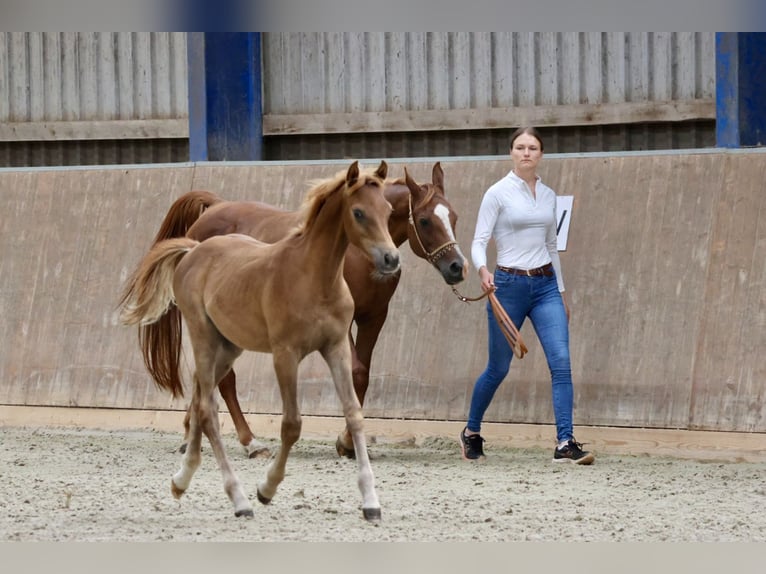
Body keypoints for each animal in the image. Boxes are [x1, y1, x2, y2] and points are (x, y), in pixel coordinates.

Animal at [120, 162, 400, 520]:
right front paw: (266, 489)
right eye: (359, 212)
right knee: (208, 409)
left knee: (200, 398)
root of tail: (193, 249)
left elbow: (354, 414)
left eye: (388, 209)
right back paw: (239, 499)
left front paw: (370, 501)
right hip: (203, 337)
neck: (314, 278)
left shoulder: (335, 347)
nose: (391, 259)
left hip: (229, 346)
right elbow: (292, 424)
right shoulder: (285, 354)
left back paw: (181, 480)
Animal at [140, 161, 468, 460]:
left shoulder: (373, 318)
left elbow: (363, 374)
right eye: (424, 220)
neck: (357, 254)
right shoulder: (343, 323)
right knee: (224, 379)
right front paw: (346, 442)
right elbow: (356, 372)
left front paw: (349, 443)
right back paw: (250, 442)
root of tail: (213, 209)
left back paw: (190, 434)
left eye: (453, 216)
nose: (457, 267)